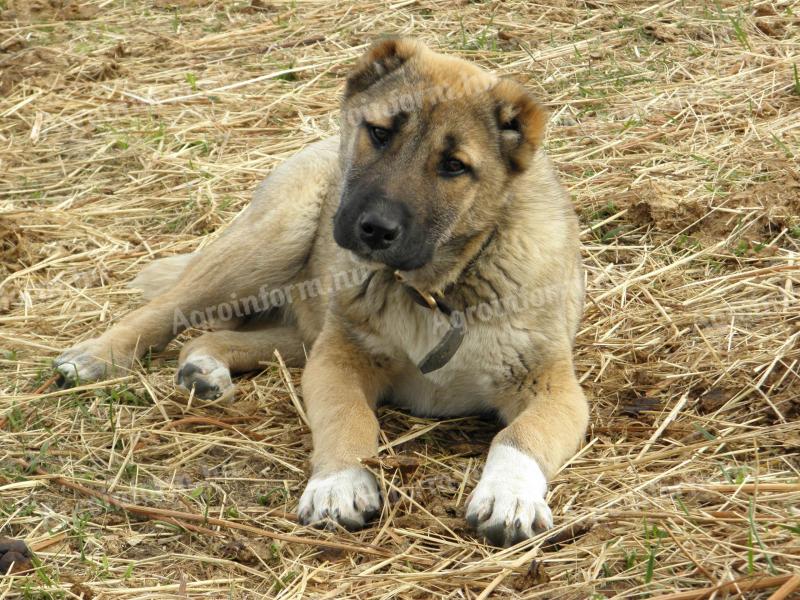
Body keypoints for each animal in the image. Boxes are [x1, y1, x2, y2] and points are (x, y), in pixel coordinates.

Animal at [53, 36, 584, 544]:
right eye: (380, 133)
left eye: (454, 166)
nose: (375, 229)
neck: (432, 289)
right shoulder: (339, 360)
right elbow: (348, 418)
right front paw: (339, 484)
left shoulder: (554, 386)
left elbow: (520, 436)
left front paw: (510, 496)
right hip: (274, 239)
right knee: (168, 308)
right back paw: (95, 357)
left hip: (305, 328)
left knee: (216, 336)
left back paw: (203, 369)